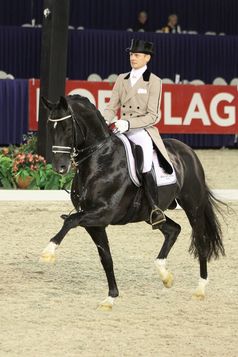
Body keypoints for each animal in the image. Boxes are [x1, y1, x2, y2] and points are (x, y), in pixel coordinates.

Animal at [40, 94, 224, 308]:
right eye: (49, 127)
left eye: (68, 128)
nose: (59, 167)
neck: (99, 161)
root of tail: (187, 150)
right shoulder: (94, 222)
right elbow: (106, 257)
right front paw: (110, 298)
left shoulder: (103, 213)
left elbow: (70, 220)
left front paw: (48, 251)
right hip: (149, 214)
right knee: (173, 229)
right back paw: (165, 275)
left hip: (193, 205)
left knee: (200, 241)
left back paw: (200, 289)